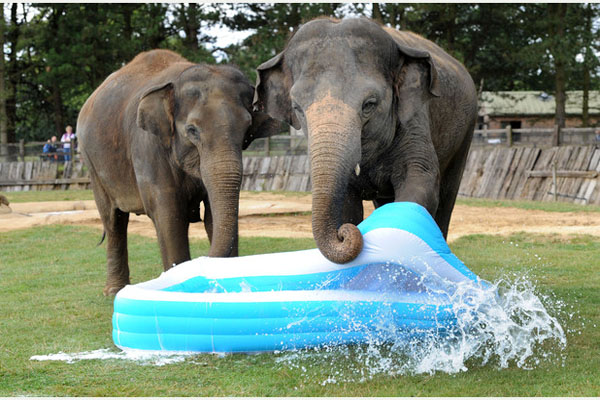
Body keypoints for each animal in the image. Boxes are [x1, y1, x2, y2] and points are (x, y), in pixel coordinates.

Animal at [77, 49, 278, 294]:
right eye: (192, 130)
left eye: (247, 130)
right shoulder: (148, 147)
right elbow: (168, 215)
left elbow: (214, 215)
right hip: (92, 163)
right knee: (114, 221)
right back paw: (115, 291)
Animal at [254, 18, 478, 266]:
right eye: (297, 108)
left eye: (369, 104)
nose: (344, 234)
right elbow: (346, 205)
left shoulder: (415, 119)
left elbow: (420, 183)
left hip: (466, 130)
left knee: (447, 196)